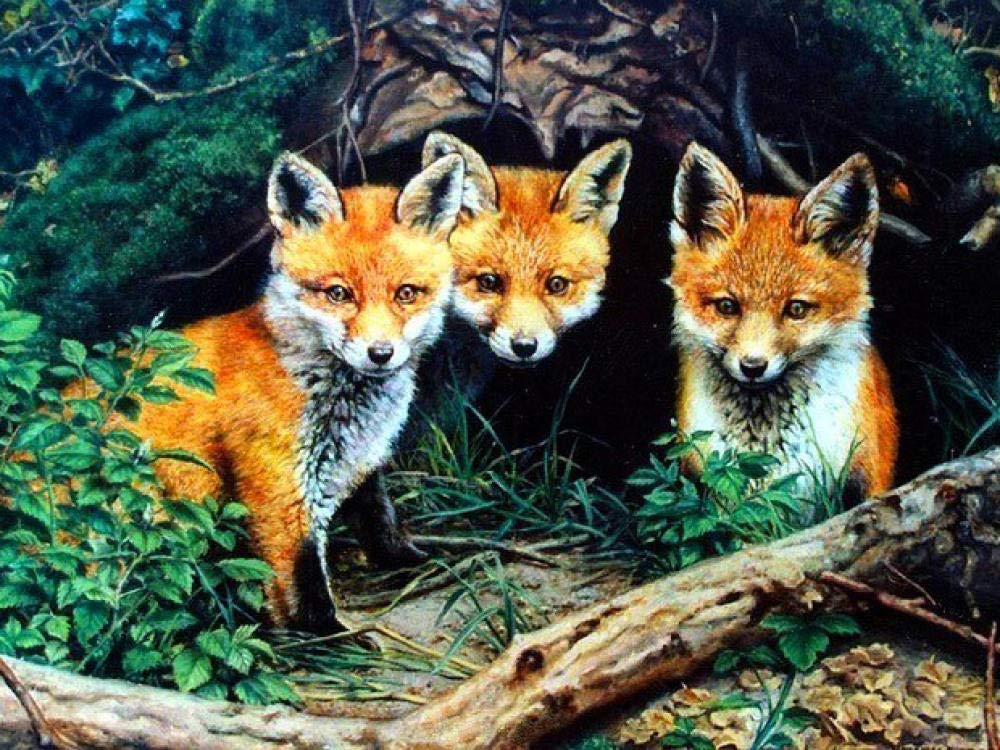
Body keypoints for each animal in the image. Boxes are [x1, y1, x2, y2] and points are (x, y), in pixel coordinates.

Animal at [95, 152, 465, 630]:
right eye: (338, 293)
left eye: (406, 293)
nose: (381, 353)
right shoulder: (277, 485)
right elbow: (301, 577)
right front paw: (327, 634)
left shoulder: (362, 460)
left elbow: (380, 519)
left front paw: (411, 560)